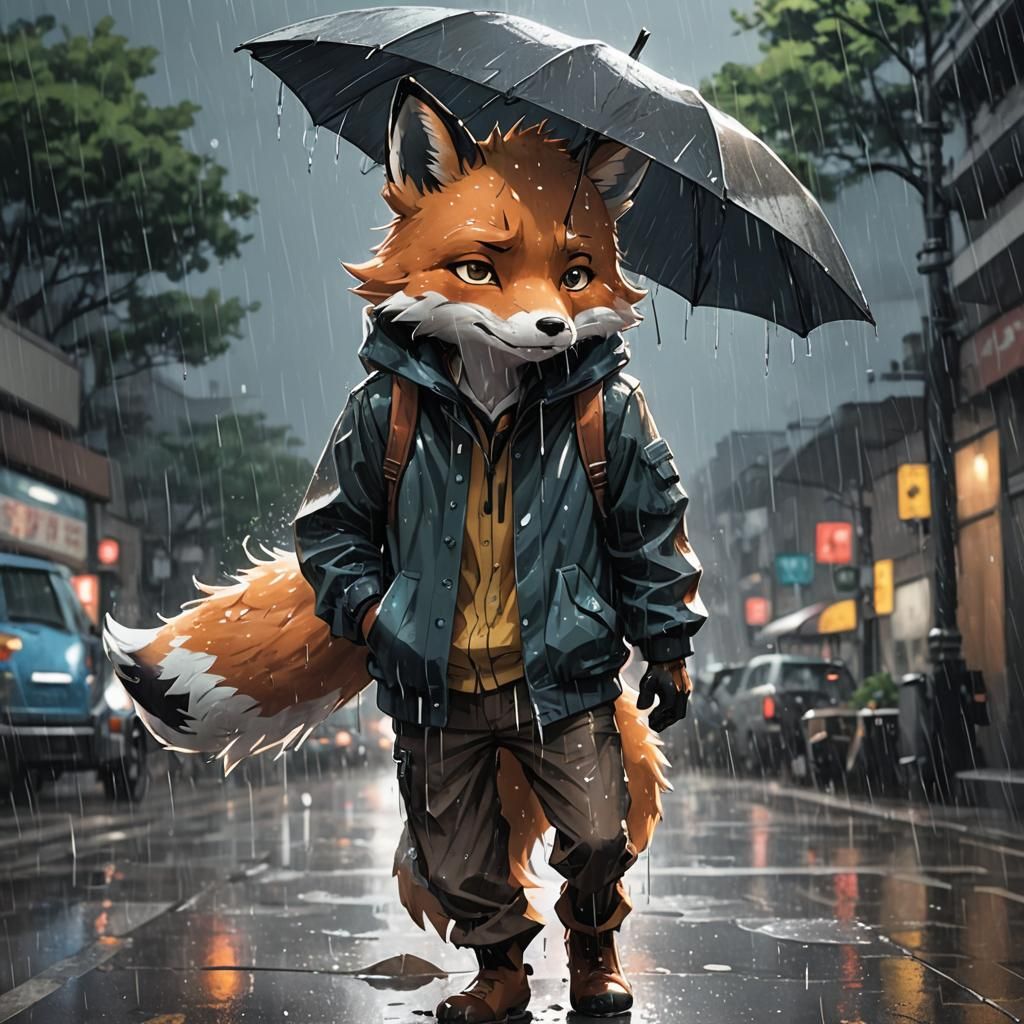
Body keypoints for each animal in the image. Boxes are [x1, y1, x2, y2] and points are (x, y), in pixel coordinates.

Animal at [102, 81, 684, 947]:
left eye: (576, 275)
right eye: (478, 268)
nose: (553, 328)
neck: (491, 401)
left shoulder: (617, 428)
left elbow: (649, 545)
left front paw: (673, 668)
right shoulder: (371, 420)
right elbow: (336, 524)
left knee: (581, 843)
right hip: (435, 739)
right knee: (456, 848)